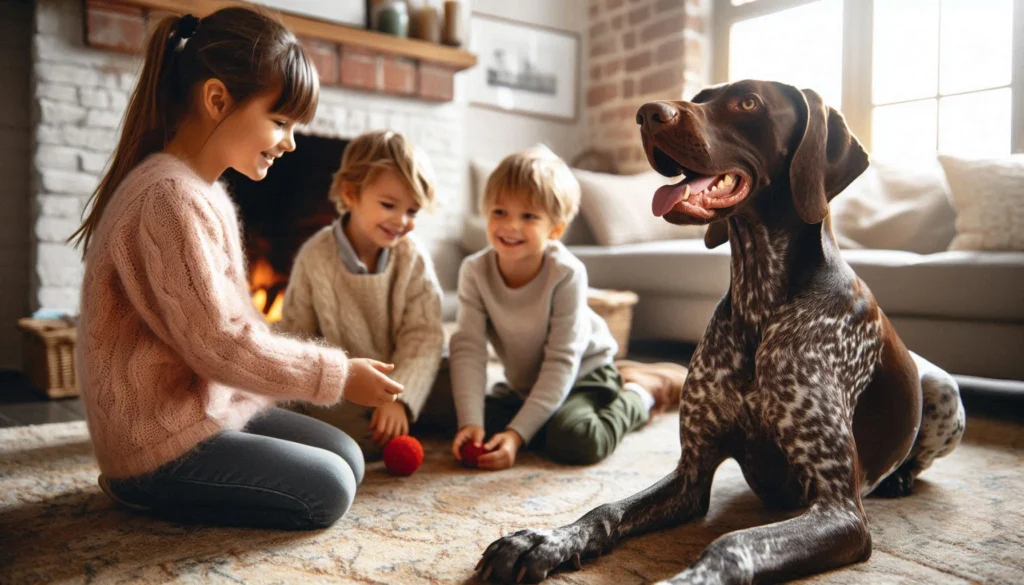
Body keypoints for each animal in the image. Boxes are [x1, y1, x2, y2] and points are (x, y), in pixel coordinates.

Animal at [475, 81, 962, 585]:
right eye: (700, 97)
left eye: (748, 102)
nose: (647, 114)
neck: (760, 297)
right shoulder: (692, 475)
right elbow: (606, 510)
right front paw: (543, 541)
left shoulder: (839, 507)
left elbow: (733, 544)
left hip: (942, 390)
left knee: (921, 450)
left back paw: (901, 477)